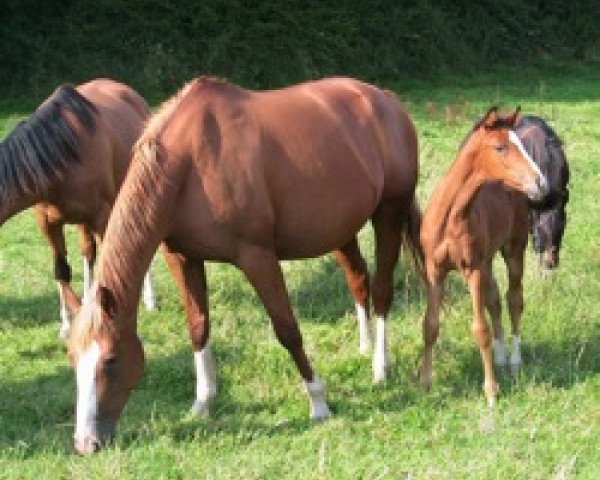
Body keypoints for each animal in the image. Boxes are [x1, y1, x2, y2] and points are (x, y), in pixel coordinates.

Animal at [0, 79, 157, 338]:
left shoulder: (102, 217)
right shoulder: (48, 224)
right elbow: (62, 270)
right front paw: (67, 325)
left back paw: (150, 298)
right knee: (88, 251)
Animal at [68, 76, 420, 454]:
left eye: (111, 360)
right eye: (72, 358)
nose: (86, 443)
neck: (189, 162)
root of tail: (385, 99)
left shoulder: (257, 256)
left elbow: (288, 330)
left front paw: (319, 402)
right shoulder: (183, 258)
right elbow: (198, 327)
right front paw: (203, 402)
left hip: (389, 213)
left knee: (382, 291)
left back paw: (380, 367)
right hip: (341, 230)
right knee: (359, 279)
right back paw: (365, 346)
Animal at [418, 107, 548, 406]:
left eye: (521, 144)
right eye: (500, 147)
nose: (541, 183)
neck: (451, 216)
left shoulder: (473, 270)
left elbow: (481, 330)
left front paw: (491, 392)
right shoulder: (434, 271)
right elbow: (430, 325)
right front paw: (425, 383)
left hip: (513, 250)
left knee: (514, 300)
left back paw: (514, 359)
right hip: (488, 260)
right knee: (495, 301)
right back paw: (500, 357)